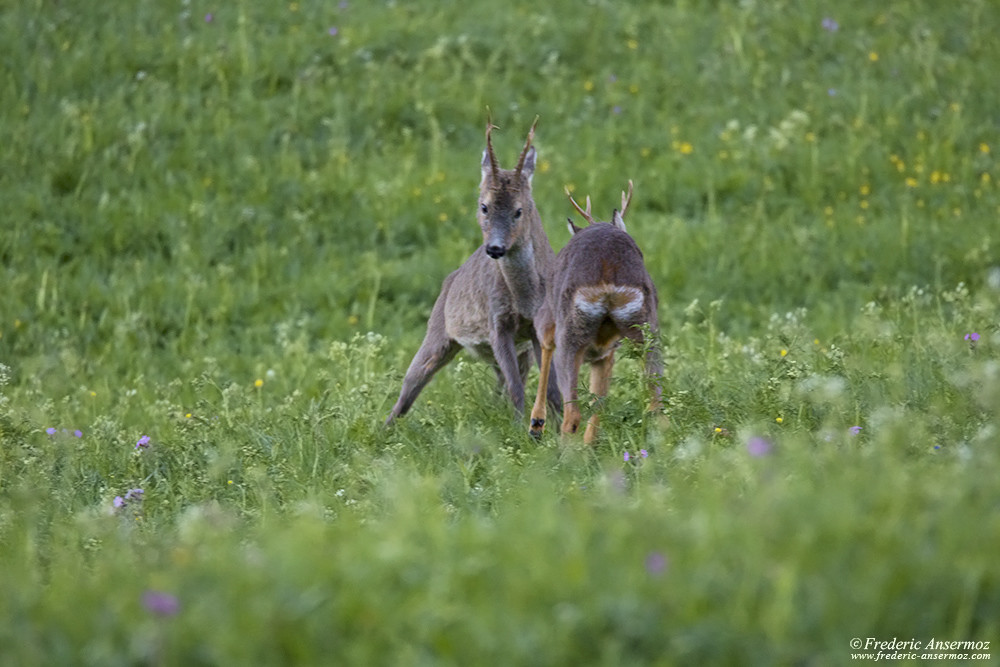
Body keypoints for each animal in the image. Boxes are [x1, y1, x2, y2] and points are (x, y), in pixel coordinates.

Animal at [384, 117, 564, 426]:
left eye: (519, 210)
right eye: (484, 206)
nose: (495, 248)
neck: (524, 298)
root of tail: (449, 280)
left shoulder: (540, 326)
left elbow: (549, 387)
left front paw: (556, 425)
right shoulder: (496, 322)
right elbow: (518, 388)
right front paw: (520, 428)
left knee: (503, 381)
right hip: (437, 332)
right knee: (410, 384)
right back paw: (384, 428)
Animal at [532, 180, 664, 446]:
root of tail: (607, 268)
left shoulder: (548, 317)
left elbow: (545, 344)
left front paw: (536, 424)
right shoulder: (606, 352)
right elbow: (599, 401)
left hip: (569, 330)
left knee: (572, 414)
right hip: (647, 327)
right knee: (656, 403)